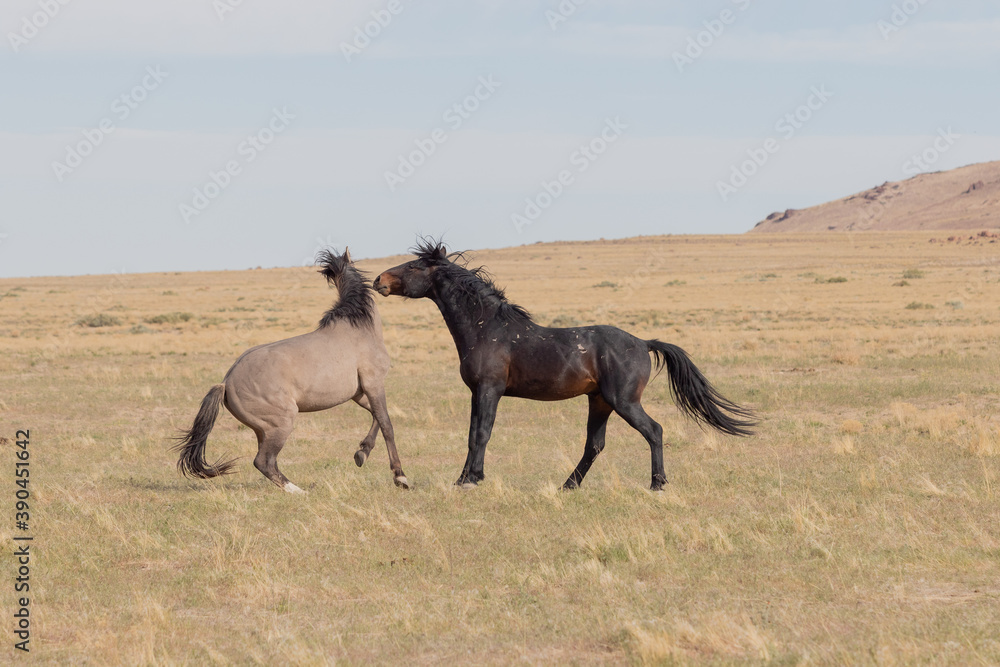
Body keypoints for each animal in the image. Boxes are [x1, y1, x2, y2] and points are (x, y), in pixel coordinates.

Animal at [174, 248, 409, 493]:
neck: (359, 328)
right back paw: (298, 491)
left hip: (263, 430)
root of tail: (226, 382)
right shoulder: (373, 383)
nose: (381, 283)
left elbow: (376, 417)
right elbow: (386, 423)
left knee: (267, 461)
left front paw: (361, 453)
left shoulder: (359, 392)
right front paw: (400, 476)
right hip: (282, 423)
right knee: (264, 461)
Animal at [373, 240, 755, 491]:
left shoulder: (489, 390)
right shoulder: (476, 393)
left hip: (623, 402)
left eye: (412, 266)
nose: (379, 281)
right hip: (599, 402)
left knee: (654, 431)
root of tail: (644, 343)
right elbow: (471, 435)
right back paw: (568, 485)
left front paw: (471, 480)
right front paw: (464, 477)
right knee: (594, 446)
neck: (488, 329)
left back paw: (657, 484)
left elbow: (481, 433)